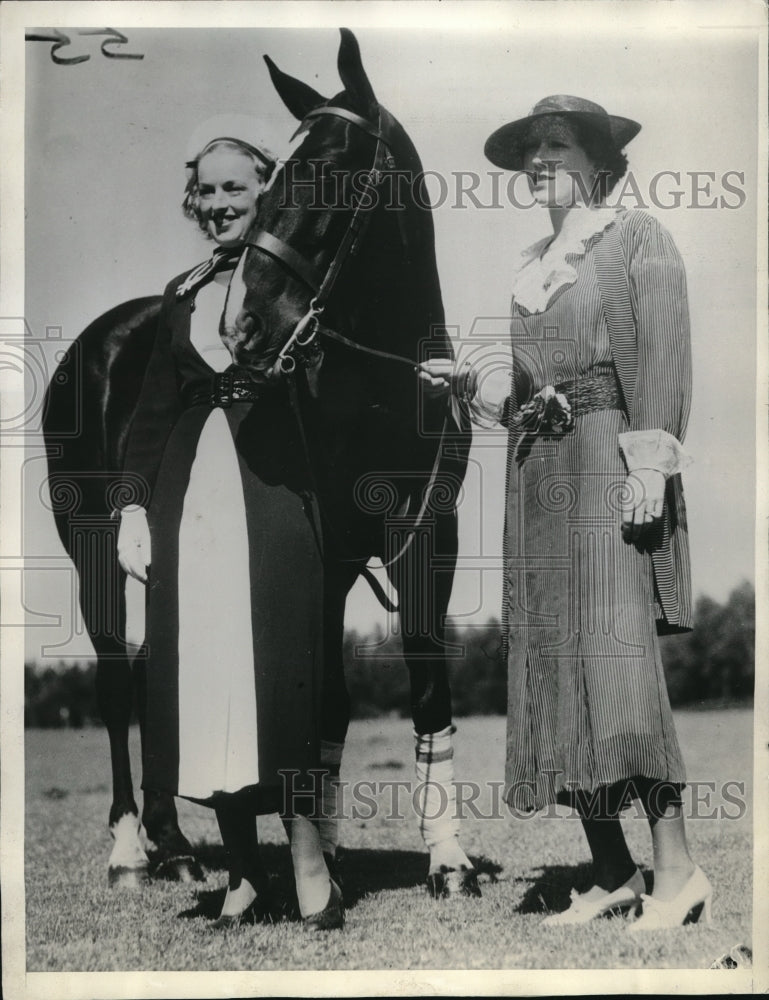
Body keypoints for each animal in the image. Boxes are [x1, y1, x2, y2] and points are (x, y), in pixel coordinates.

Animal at [42, 27, 476, 896]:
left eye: (329, 170)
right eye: (272, 176)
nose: (245, 325)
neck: (379, 388)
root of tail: (101, 338)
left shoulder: (424, 541)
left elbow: (423, 688)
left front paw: (446, 860)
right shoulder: (326, 552)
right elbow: (329, 699)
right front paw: (329, 856)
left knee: (152, 671)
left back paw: (174, 842)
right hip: (93, 545)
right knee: (113, 680)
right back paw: (129, 849)